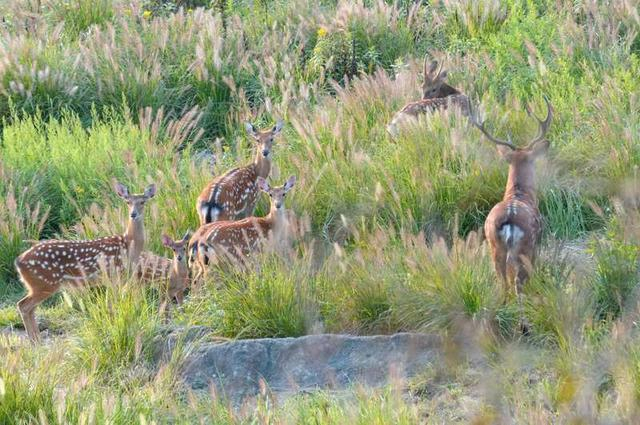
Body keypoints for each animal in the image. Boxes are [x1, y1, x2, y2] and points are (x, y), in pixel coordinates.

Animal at [14, 181, 157, 342]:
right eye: (128, 202)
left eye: (142, 202)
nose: (133, 214)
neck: (128, 245)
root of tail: (19, 261)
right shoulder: (114, 275)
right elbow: (112, 305)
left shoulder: (113, 280)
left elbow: (110, 304)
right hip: (45, 283)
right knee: (23, 306)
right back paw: (35, 342)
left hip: (38, 285)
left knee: (29, 308)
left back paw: (37, 340)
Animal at [470, 97, 553, 333]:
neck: (519, 193)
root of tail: (509, 217)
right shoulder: (536, 244)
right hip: (524, 246)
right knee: (517, 282)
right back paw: (523, 325)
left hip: (493, 245)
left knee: (502, 281)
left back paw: (500, 315)